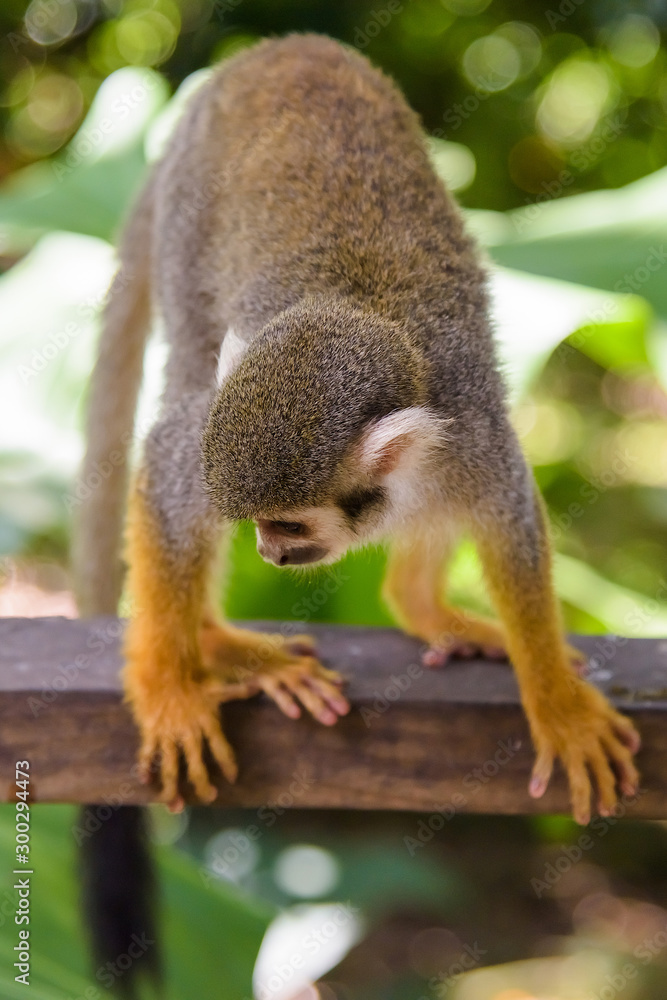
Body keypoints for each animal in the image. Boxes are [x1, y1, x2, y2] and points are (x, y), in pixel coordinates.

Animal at [74, 32, 640, 992]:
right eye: (262, 527)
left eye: (290, 525)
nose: (269, 556)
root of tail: (259, 54)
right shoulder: (214, 448)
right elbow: (166, 479)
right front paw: (168, 691)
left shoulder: (469, 433)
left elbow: (510, 528)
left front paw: (553, 698)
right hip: (192, 230)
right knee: (187, 371)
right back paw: (214, 641)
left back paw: (415, 606)